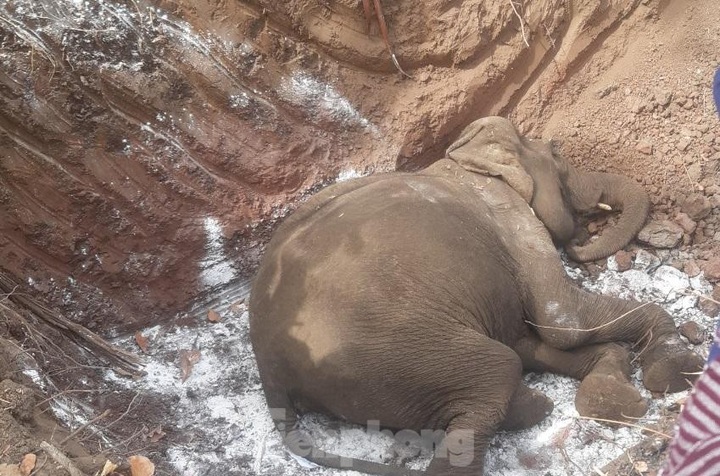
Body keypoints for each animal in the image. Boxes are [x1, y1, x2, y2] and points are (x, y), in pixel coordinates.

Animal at [249, 116, 703, 476]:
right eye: (558, 156)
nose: (578, 245)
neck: (465, 155)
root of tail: (271, 373)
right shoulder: (512, 219)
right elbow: (562, 320)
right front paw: (677, 371)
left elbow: (531, 336)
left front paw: (610, 392)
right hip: (391, 356)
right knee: (497, 368)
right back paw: (533, 408)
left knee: (504, 362)